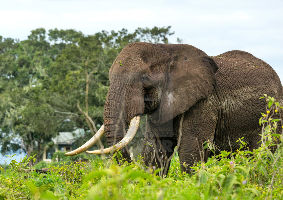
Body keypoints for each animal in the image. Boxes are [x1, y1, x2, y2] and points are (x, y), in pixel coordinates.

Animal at [66, 42, 282, 175]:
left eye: (144, 80)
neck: (167, 51)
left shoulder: (205, 101)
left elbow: (190, 150)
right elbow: (156, 151)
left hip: (272, 116)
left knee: (263, 153)